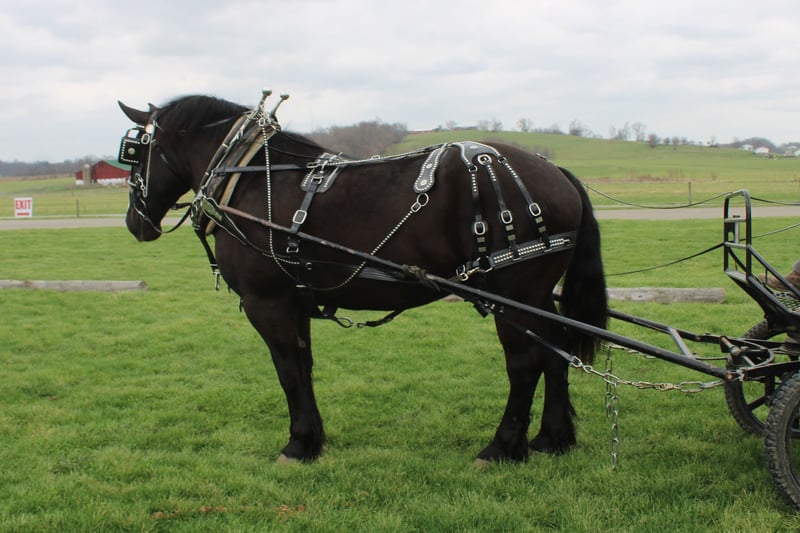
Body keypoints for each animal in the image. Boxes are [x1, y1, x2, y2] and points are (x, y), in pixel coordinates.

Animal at [117, 92, 607, 464]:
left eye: (133, 151)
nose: (134, 223)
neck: (249, 177)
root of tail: (556, 173)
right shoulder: (294, 301)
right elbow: (304, 367)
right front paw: (314, 439)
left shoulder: (267, 302)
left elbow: (287, 370)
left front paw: (298, 444)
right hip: (537, 296)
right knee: (556, 354)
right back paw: (552, 438)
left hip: (513, 296)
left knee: (525, 365)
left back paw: (503, 448)